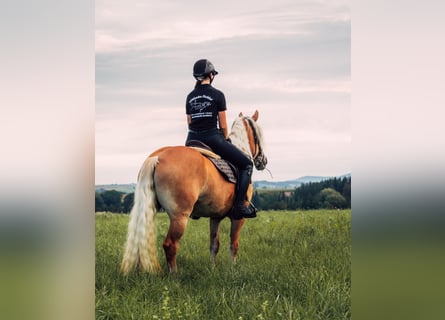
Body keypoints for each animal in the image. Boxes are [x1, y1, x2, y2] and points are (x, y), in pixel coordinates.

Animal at [120, 110, 268, 276]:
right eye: (259, 134)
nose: (263, 161)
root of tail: (158, 156)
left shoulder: (215, 217)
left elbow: (214, 244)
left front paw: (212, 268)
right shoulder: (238, 218)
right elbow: (234, 244)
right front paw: (233, 268)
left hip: (149, 209)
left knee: (142, 238)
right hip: (180, 216)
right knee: (170, 245)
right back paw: (174, 274)